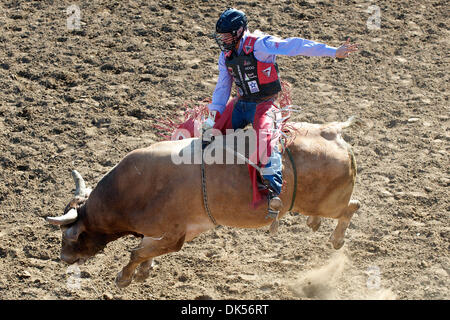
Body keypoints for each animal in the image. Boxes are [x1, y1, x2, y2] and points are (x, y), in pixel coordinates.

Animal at [46, 116, 362, 288]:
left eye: (71, 236)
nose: (63, 259)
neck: (134, 190)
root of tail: (331, 132)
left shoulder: (175, 235)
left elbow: (137, 252)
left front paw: (124, 277)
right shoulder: (171, 231)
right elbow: (146, 250)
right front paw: (144, 271)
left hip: (331, 203)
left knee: (352, 207)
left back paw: (336, 239)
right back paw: (313, 223)